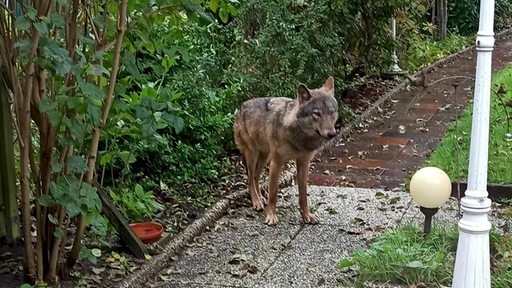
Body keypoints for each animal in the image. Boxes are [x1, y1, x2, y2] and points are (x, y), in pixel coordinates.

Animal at [233, 76, 338, 225]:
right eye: (316, 114)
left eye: (332, 112)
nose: (332, 134)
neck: (300, 136)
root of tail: (241, 107)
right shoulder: (276, 163)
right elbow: (273, 192)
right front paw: (271, 216)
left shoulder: (303, 163)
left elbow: (303, 193)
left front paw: (307, 215)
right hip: (252, 155)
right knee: (250, 179)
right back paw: (256, 201)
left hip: (264, 158)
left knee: (255, 177)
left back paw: (260, 199)